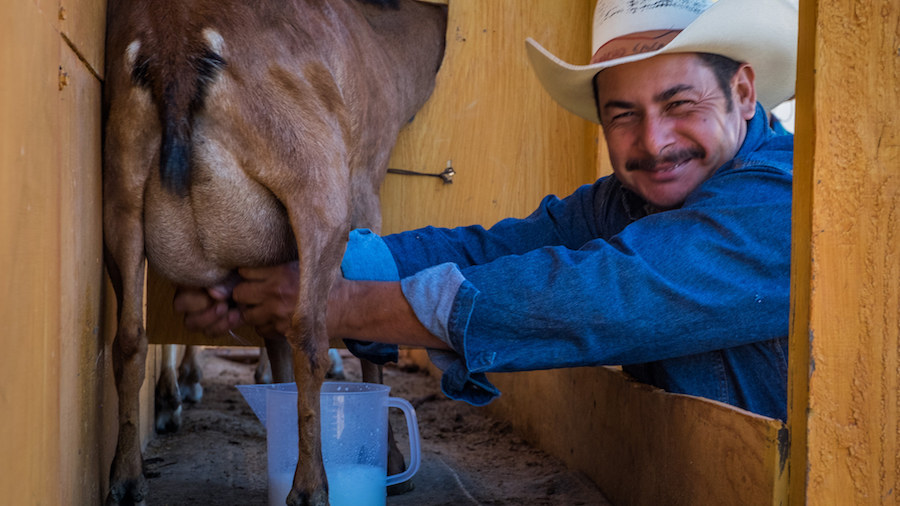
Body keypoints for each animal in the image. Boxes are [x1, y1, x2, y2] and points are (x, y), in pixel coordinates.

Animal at [103, 1, 450, 504]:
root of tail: (176, 51)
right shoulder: (364, 187)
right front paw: (388, 461)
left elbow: (272, 331)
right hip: (316, 185)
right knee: (310, 334)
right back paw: (310, 487)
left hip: (121, 194)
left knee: (129, 337)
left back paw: (127, 480)